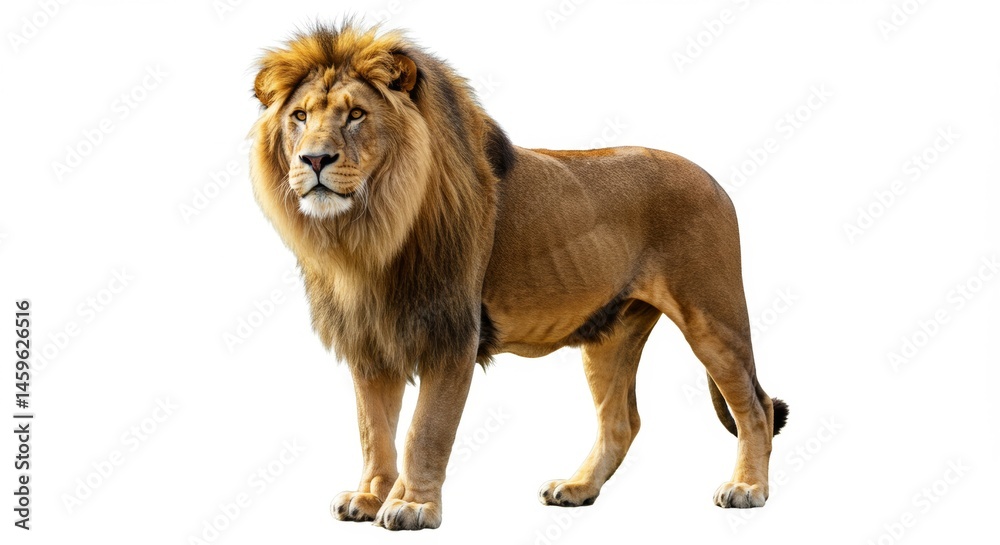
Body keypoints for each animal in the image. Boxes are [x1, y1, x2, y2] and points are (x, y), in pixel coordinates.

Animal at [249, 22, 788, 531]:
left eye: (356, 115)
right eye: (300, 117)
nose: (314, 159)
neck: (367, 233)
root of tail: (713, 179)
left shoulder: (452, 335)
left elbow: (425, 431)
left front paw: (412, 505)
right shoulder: (370, 341)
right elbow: (374, 432)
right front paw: (369, 497)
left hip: (712, 316)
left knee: (755, 407)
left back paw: (747, 489)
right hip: (611, 335)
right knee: (621, 422)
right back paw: (577, 488)